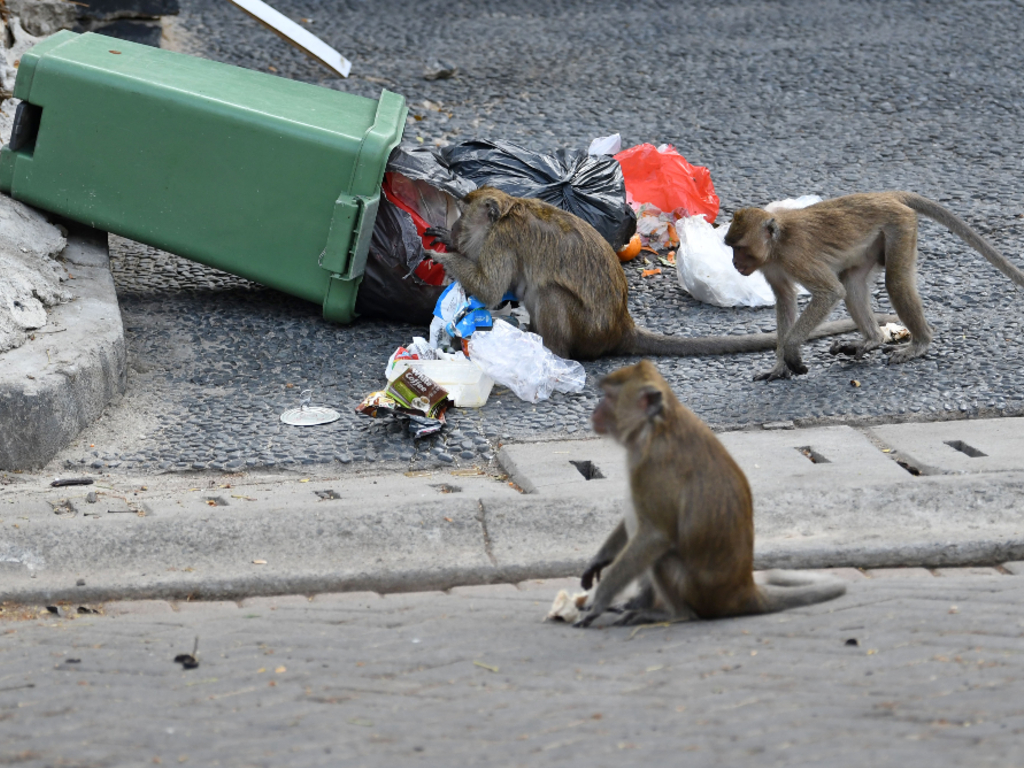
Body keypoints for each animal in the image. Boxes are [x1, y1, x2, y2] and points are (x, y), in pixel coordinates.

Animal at [419, 188, 892, 364]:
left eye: (465, 220)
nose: (455, 233)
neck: (507, 211)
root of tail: (621, 327)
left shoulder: (502, 241)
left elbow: (490, 287)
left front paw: (438, 254)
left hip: (586, 330)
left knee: (551, 293)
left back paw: (551, 352)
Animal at [577, 362, 847, 630]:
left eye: (609, 397)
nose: (595, 411)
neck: (656, 425)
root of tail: (744, 591)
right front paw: (598, 560)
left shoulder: (652, 465)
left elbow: (655, 534)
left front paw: (598, 602)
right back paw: (641, 603)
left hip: (698, 594)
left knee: (661, 556)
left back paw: (672, 613)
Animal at [724, 191, 1024, 382]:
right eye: (731, 247)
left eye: (740, 248)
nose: (734, 263)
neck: (776, 245)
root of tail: (887, 195)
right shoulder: (772, 266)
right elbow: (786, 299)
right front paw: (779, 367)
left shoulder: (795, 257)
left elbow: (830, 293)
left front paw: (791, 349)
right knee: (853, 284)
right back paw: (872, 339)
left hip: (900, 226)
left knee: (894, 281)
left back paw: (919, 343)